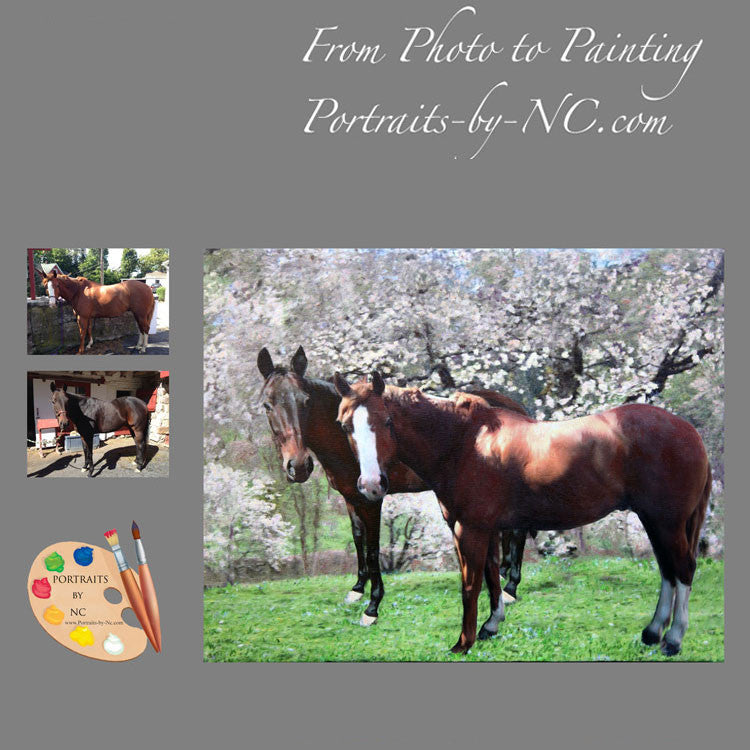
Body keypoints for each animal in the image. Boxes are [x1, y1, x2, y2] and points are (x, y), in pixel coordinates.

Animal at [257, 346, 532, 626]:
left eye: (306, 402)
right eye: (267, 405)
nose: (298, 466)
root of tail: (516, 408)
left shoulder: (371, 501)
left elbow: (372, 549)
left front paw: (372, 606)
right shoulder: (350, 498)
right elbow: (357, 538)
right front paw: (357, 589)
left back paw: (510, 588)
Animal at [333, 371, 711, 656]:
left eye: (386, 421)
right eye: (344, 425)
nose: (371, 485)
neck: (463, 443)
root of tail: (690, 432)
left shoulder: (469, 528)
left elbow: (470, 584)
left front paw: (463, 643)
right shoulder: (484, 528)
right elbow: (490, 576)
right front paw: (490, 626)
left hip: (666, 522)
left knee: (682, 570)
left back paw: (673, 640)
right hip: (656, 521)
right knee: (667, 571)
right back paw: (652, 633)